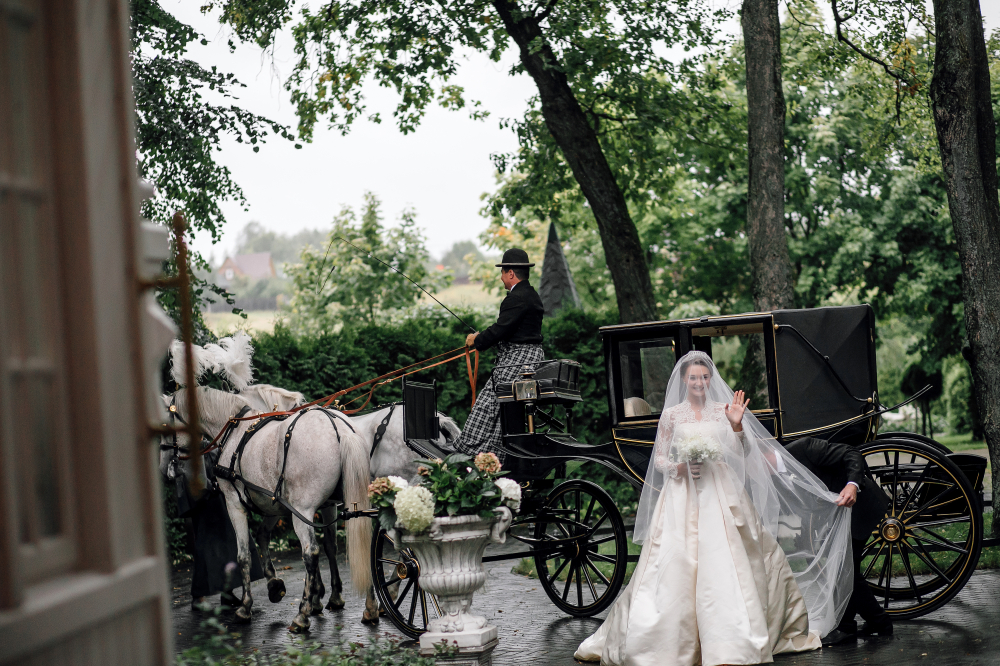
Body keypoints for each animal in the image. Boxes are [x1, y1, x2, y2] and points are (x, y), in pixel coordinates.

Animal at [163, 384, 372, 628]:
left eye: (165, 424)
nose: (169, 471)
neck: (236, 430)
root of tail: (341, 429)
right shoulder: (273, 503)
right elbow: (263, 536)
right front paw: (275, 584)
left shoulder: (235, 503)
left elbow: (243, 555)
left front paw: (245, 607)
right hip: (346, 503)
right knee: (358, 540)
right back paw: (367, 607)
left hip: (302, 511)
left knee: (310, 552)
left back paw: (302, 614)